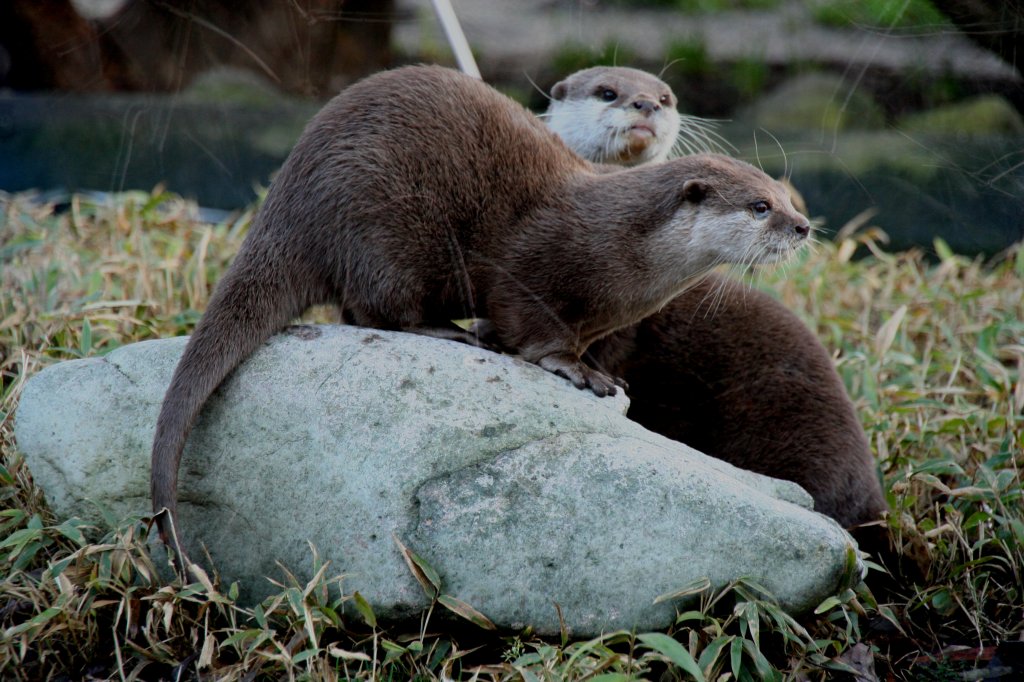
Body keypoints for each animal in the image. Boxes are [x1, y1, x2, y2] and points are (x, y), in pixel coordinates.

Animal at [151, 65, 811, 557]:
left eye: (784, 197)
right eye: (758, 207)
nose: (803, 227)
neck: (622, 242)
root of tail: (287, 199)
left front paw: (600, 370)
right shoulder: (534, 269)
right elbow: (531, 328)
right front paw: (578, 372)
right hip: (383, 230)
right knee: (371, 309)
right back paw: (449, 332)